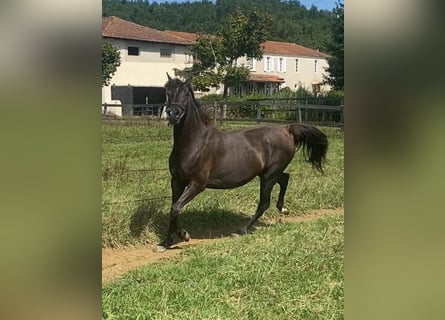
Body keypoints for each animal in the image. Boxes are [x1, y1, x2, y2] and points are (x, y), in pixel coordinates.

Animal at [159, 74, 326, 248]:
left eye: (185, 94)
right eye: (167, 92)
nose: (173, 114)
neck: (195, 143)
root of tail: (286, 130)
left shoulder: (197, 184)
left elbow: (176, 208)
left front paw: (183, 235)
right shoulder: (177, 181)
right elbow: (174, 208)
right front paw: (167, 241)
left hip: (269, 176)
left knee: (264, 202)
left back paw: (243, 229)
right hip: (267, 173)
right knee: (285, 178)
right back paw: (283, 209)